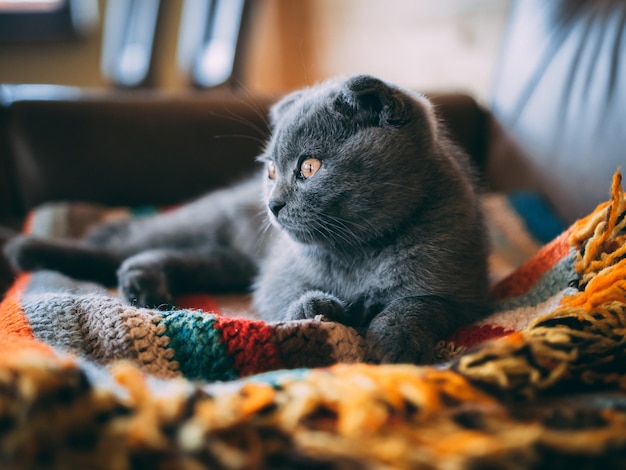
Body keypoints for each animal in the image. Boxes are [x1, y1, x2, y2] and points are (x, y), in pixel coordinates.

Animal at [6, 75, 492, 366]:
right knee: (125, 241)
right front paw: (319, 310)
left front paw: (393, 342)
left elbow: (417, 306)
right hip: (206, 226)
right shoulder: (279, 276)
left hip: (229, 259)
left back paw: (144, 284)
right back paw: (29, 250)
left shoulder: (458, 289)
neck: (359, 253)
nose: (273, 204)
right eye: (272, 170)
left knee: (168, 255)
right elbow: (290, 299)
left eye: (309, 167)